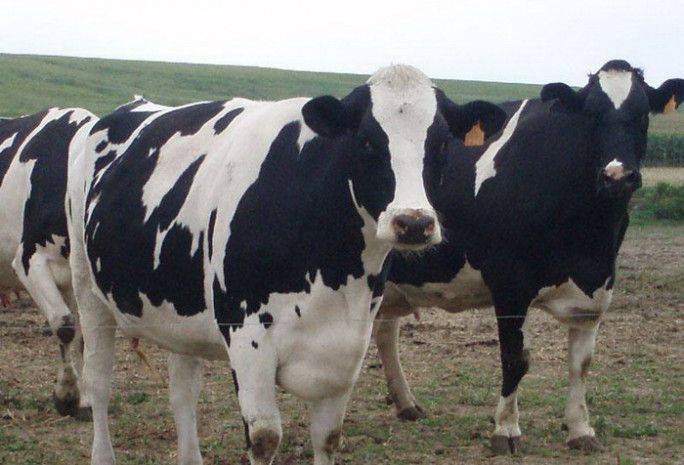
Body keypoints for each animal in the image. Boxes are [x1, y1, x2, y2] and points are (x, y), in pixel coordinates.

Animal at [66, 65, 506, 465]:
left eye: (442, 145)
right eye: (366, 141)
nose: (413, 223)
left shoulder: (347, 347)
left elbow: (328, 438)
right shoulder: (247, 339)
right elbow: (264, 438)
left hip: (178, 309)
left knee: (183, 394)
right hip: (87, 289)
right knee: (99, 383)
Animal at [374, 60, 684, 454]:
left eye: (643, 114)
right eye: (592, 115)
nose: (617, 175)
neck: (590, 236)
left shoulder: (596, 288)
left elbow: (581, 363)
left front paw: (581, 429)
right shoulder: (509, 284)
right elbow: (514, 358)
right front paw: (505, 430)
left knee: (385, 331)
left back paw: (406, 403)